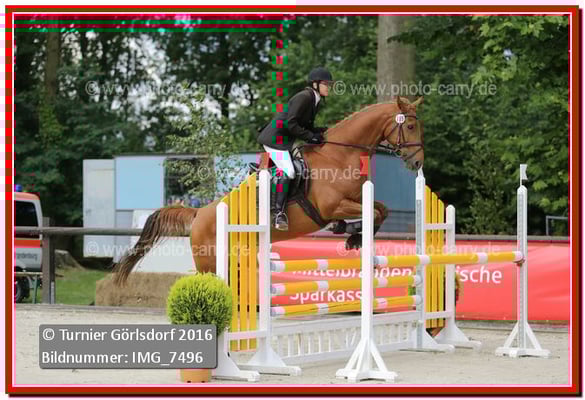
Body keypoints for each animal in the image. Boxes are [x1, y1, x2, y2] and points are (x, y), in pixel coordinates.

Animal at [113, 96, 424, 285]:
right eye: (410, 125)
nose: (417, 162)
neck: (338, 155)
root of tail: (199, 213)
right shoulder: (331, 206)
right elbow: (372, 211)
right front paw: (349, 233)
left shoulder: (356, 199)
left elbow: (382, 210)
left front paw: (352, 236)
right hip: (209, 261)